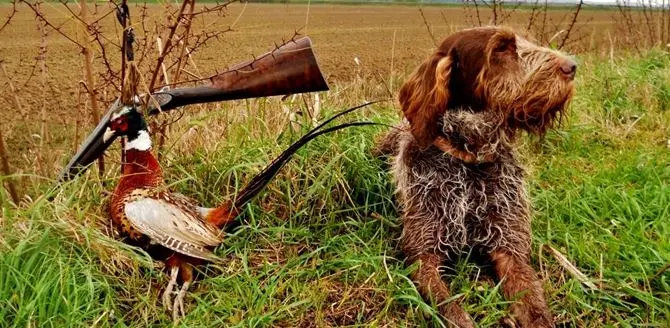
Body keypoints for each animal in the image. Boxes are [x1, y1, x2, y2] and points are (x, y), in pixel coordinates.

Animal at [378, 26, 576, 326]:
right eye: (501, 48)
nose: (572, 66)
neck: (469, 161)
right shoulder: (423, 255)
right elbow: (452, 310)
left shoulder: (510, 250)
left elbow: (535, 309)